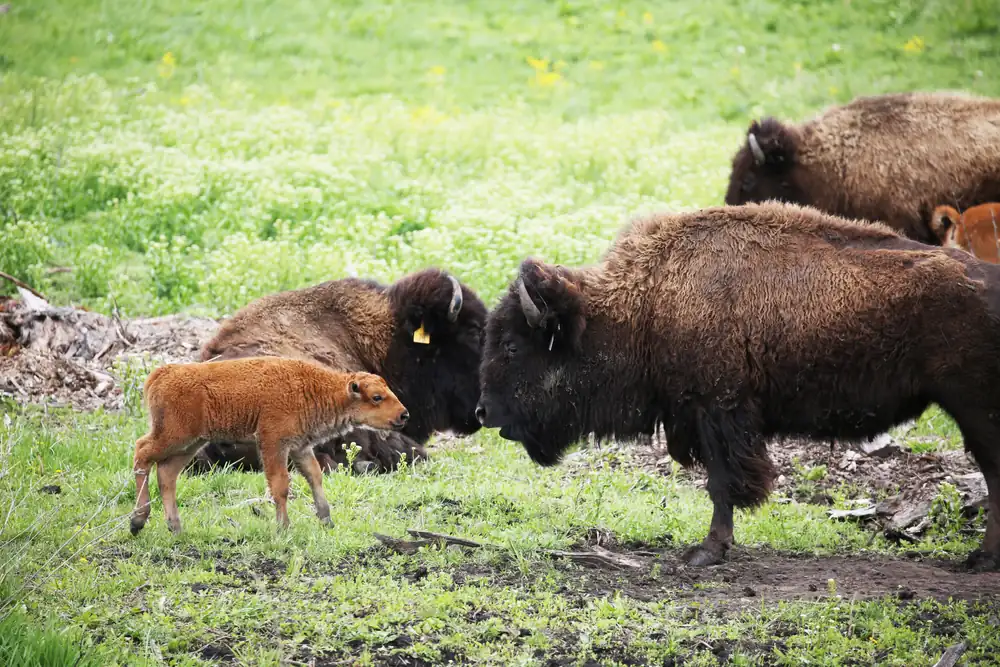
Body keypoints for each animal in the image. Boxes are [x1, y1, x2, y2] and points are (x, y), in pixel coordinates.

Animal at [131, 358, 408, 535]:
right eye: (377, 397)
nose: (404, 415)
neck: (316, 388)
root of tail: (161, 374)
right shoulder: (273, 443)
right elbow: (280, 485)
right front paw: (283, 527)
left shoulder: (299, 447)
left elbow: (314, 476)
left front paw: (326, 519)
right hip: (173, 436)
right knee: (142, 452)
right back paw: (138, 521)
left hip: (191, 443)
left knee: (166, 473)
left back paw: (175, 527)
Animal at [475, 201, 1000, 570]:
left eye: (513, 347)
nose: (483, 413)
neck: (646, 302)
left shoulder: (718, 410)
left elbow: (722, 483)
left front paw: (706, 552)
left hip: (974, 406)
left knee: (993, 472)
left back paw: (980, 559)